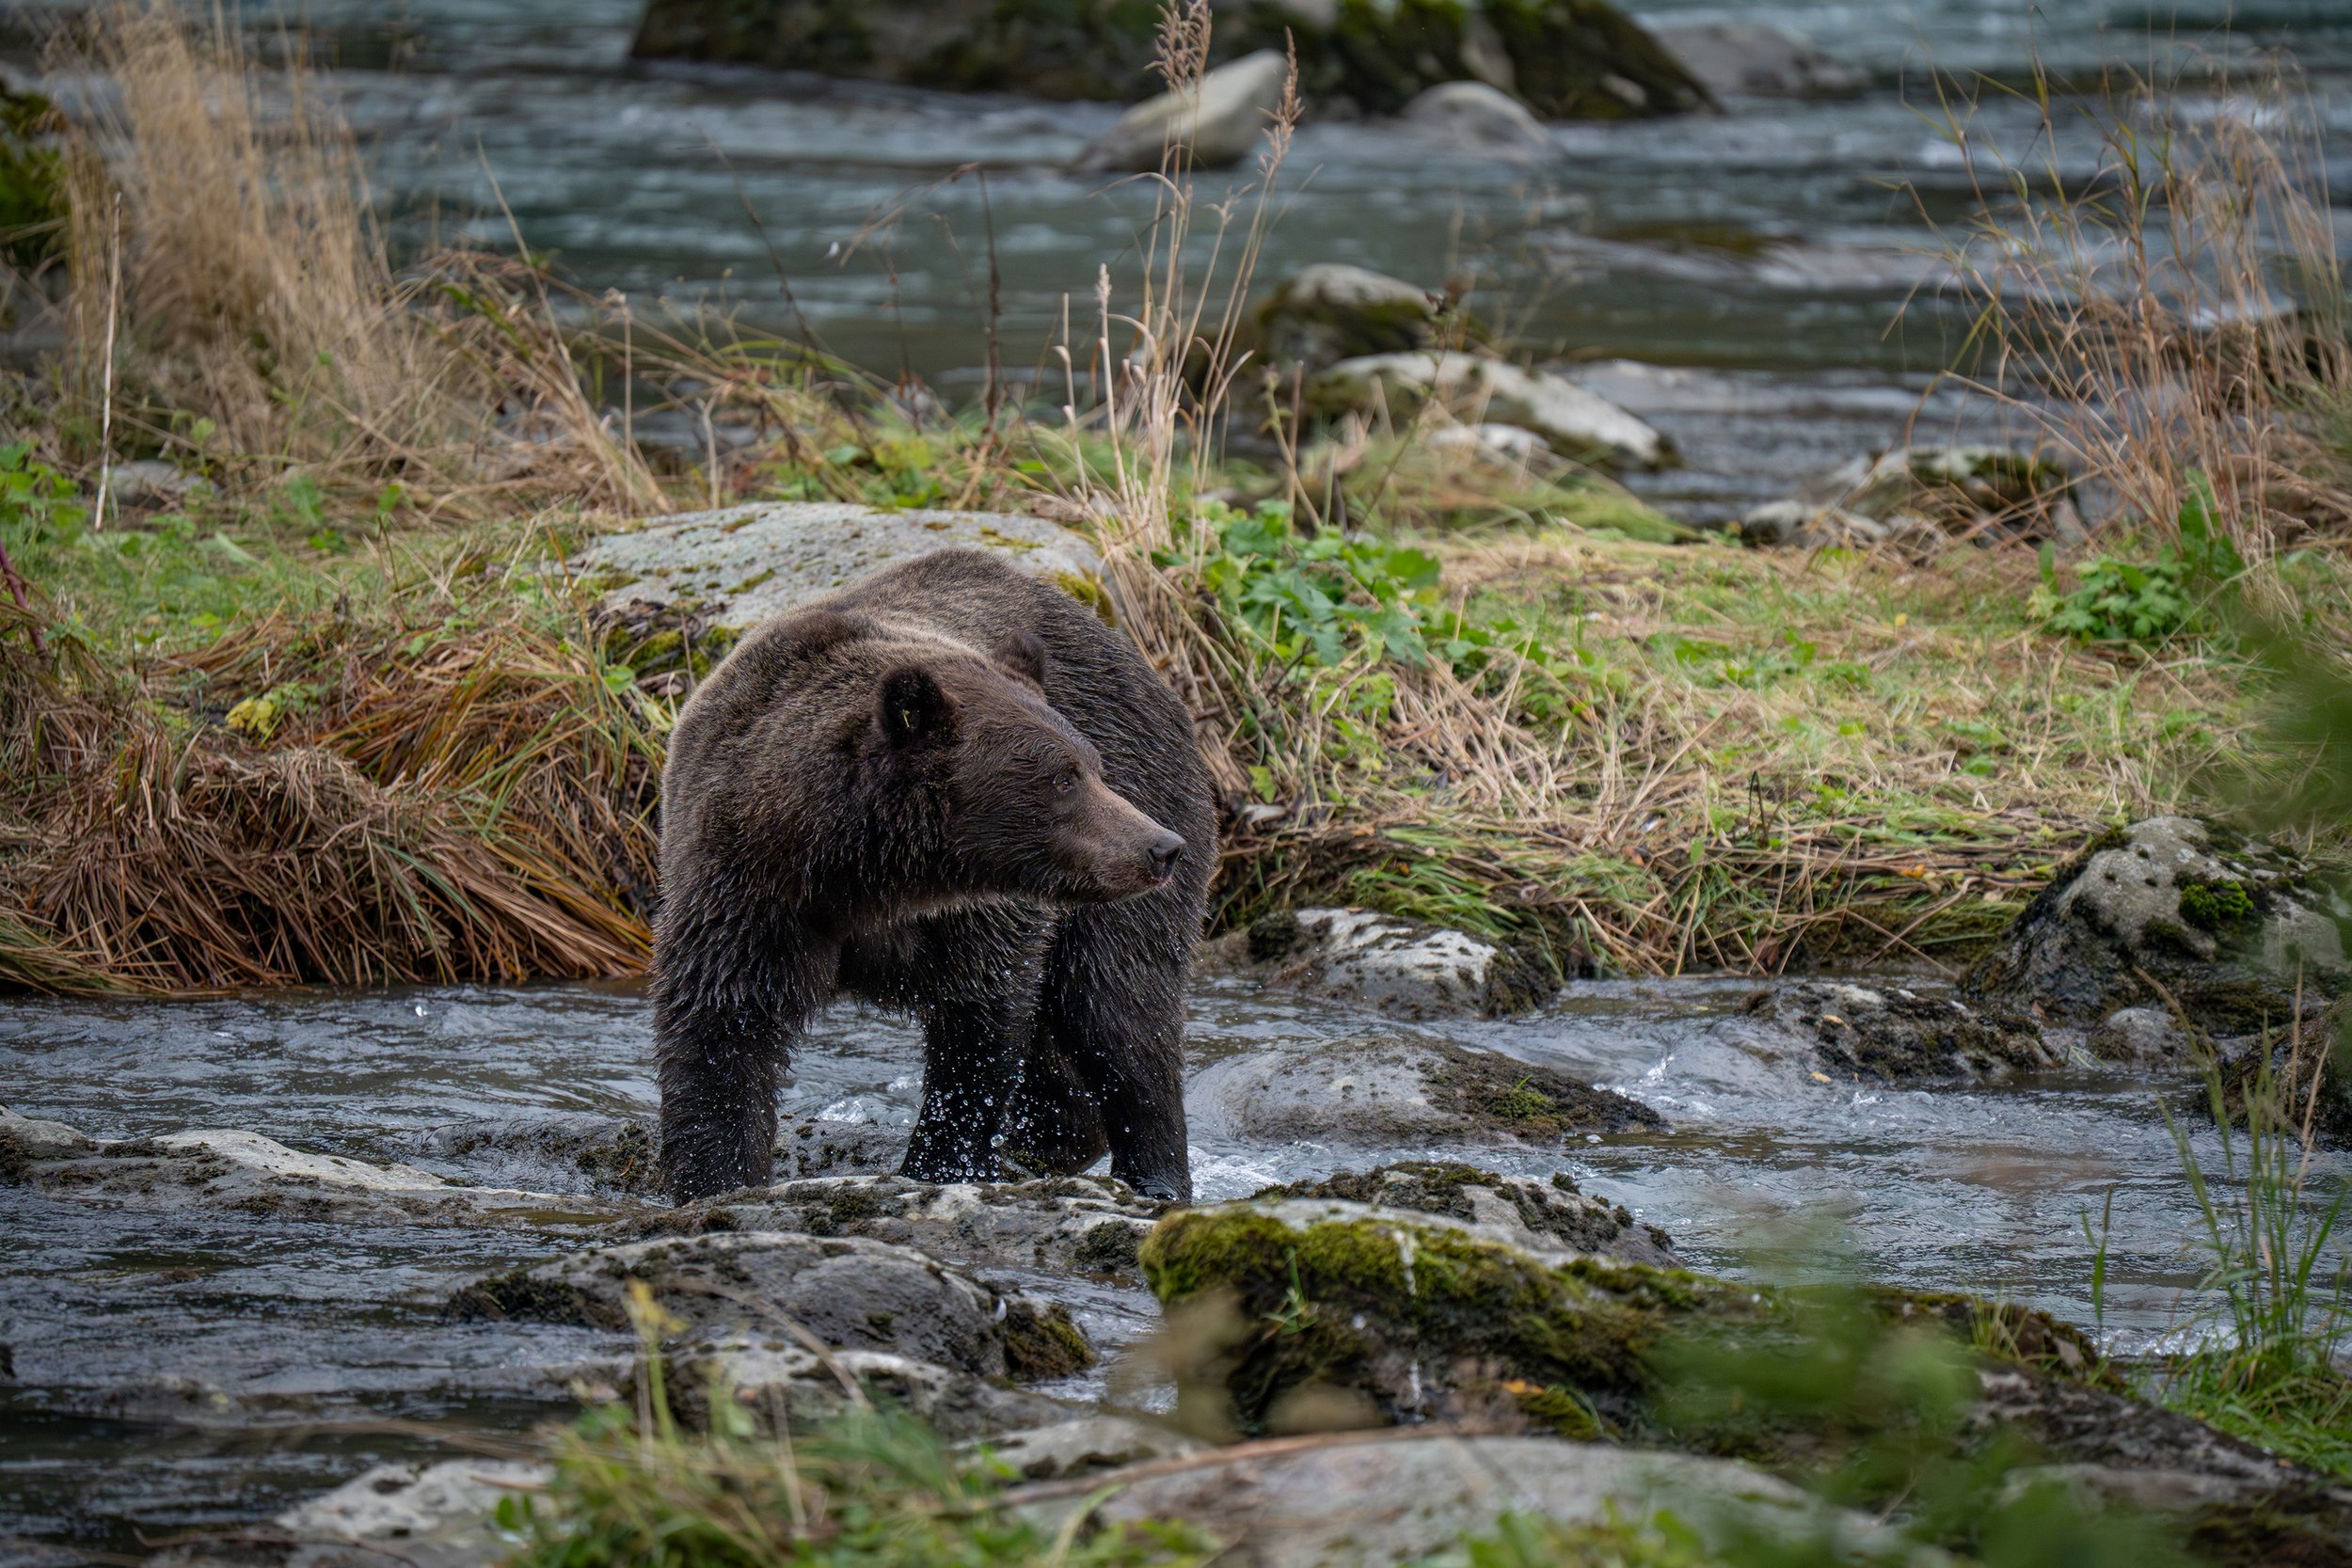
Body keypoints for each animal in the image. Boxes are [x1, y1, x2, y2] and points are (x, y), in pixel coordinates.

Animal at [652, 547, 1214, 1206]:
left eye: (1092, 768)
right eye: (1063, 778)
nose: (1159, 848)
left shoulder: (978, 915)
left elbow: (981, 1027)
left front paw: (939, 1164)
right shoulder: (742, 889)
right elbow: (721, 1030)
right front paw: (715, 1178)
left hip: (1142, 799)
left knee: (1119, 1005)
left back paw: (1153, 1176)